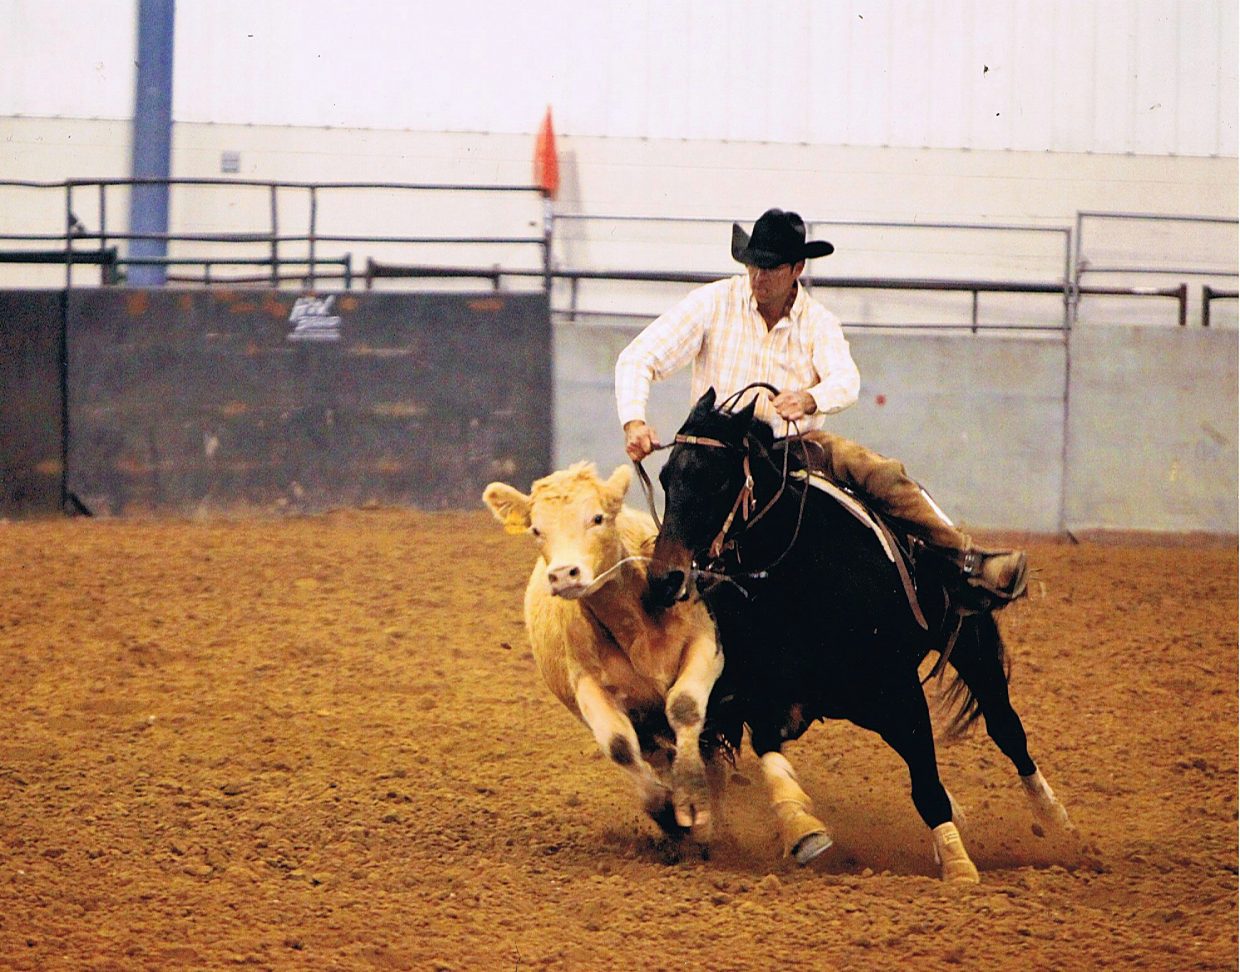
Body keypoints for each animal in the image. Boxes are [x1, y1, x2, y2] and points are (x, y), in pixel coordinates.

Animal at [645, 387, 1071, 883]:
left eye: (717, 479)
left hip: (969, 643)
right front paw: (803, 829)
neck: (797, 578)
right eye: (666, 476)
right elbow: (767, 749)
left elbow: (926, 783)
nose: (665, 578)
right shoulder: (763, 695)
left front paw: (959, 866)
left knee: (1005, 727)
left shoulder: (898, 689)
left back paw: (1055, 820)